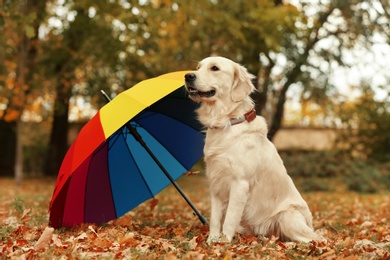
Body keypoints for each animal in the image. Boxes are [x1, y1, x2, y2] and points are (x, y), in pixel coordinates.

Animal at [184, 55, 322, 243]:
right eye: (198, 67)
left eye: (214, 68)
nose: (188, 76)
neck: (227, 123)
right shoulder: (216, 183)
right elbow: (215, 219)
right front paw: (212, 241)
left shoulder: (239, 184)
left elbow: (229, 219)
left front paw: (224, 242)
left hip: (288, 216)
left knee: (315, 239)